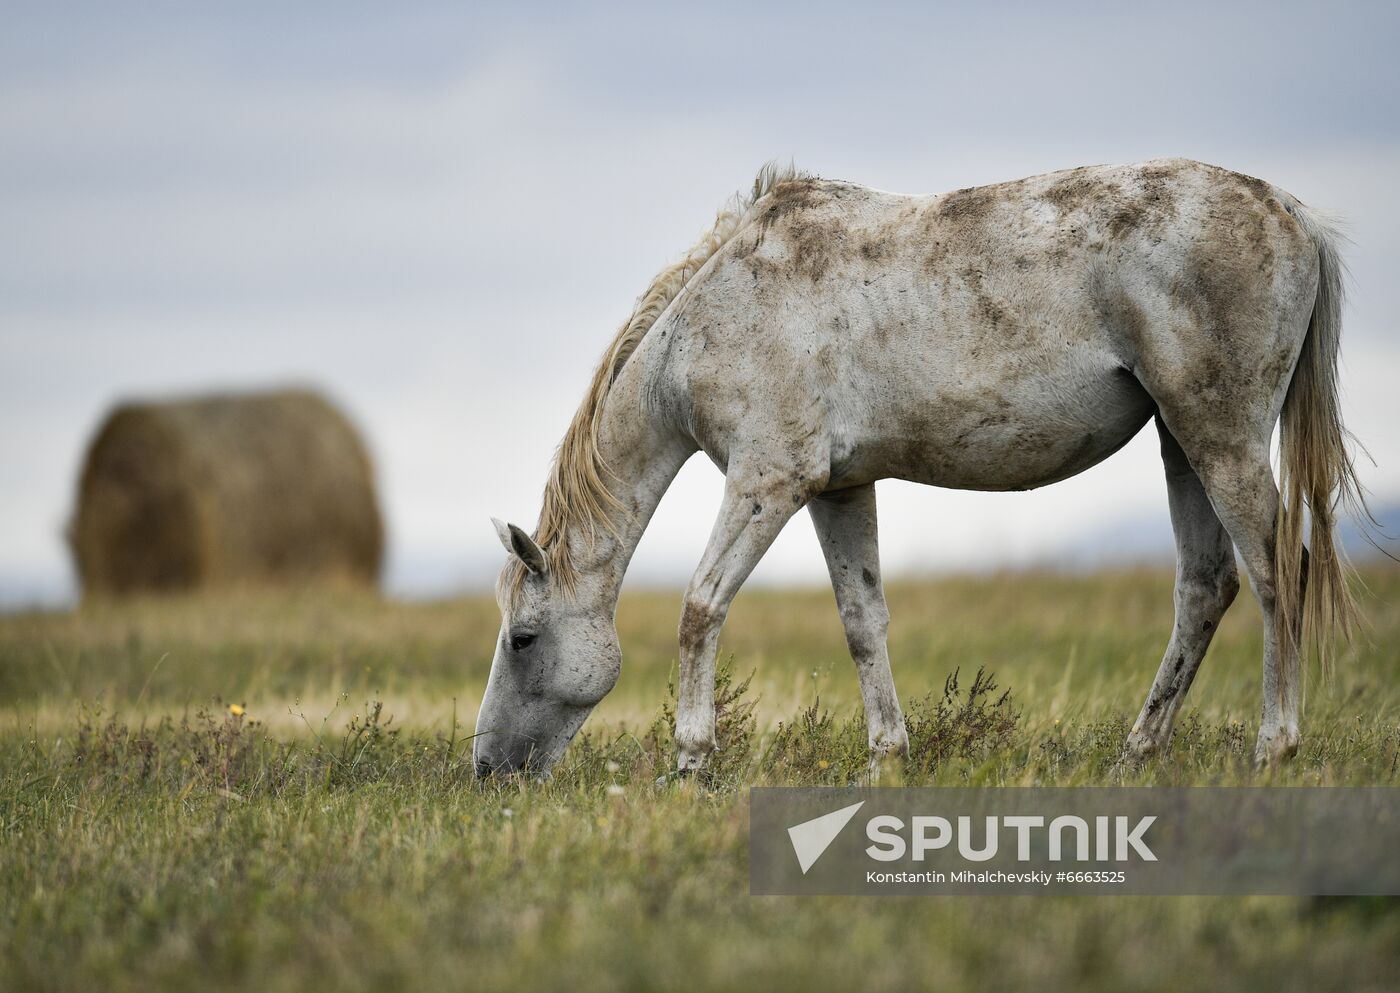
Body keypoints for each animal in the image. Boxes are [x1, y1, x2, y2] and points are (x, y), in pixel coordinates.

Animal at [476, 158, 1360, 773]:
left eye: (523, 637)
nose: (487, 767)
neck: (719, 312)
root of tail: (1289, 213)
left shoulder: (767, 483)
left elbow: (701, 608)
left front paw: (692, 761)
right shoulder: (839, 489)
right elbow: (862, 621)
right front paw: (887, 756)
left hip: (1222, 440)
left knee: (1277, 574)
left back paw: (1273, 748)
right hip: (1183, 443)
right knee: (1205, 588)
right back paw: (1137, 753)